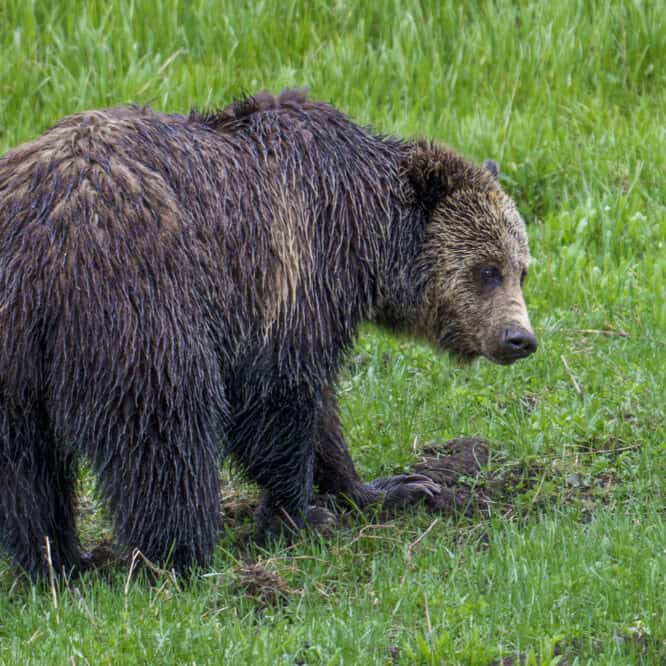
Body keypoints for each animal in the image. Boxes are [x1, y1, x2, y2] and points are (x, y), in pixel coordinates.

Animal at [0, 89, 536, 578]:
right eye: (487, 270)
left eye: (522, 270)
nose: (520, 339)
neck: (368, 233)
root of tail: (38, 241)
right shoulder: (295, 271)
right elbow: (279, 396)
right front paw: (299, 514)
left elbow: (321, 414)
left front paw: (390, 488)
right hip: (137, 300)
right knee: (164, 427)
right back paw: (179, 554)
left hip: (17, 350)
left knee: (25, 463)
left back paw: (55, 561)